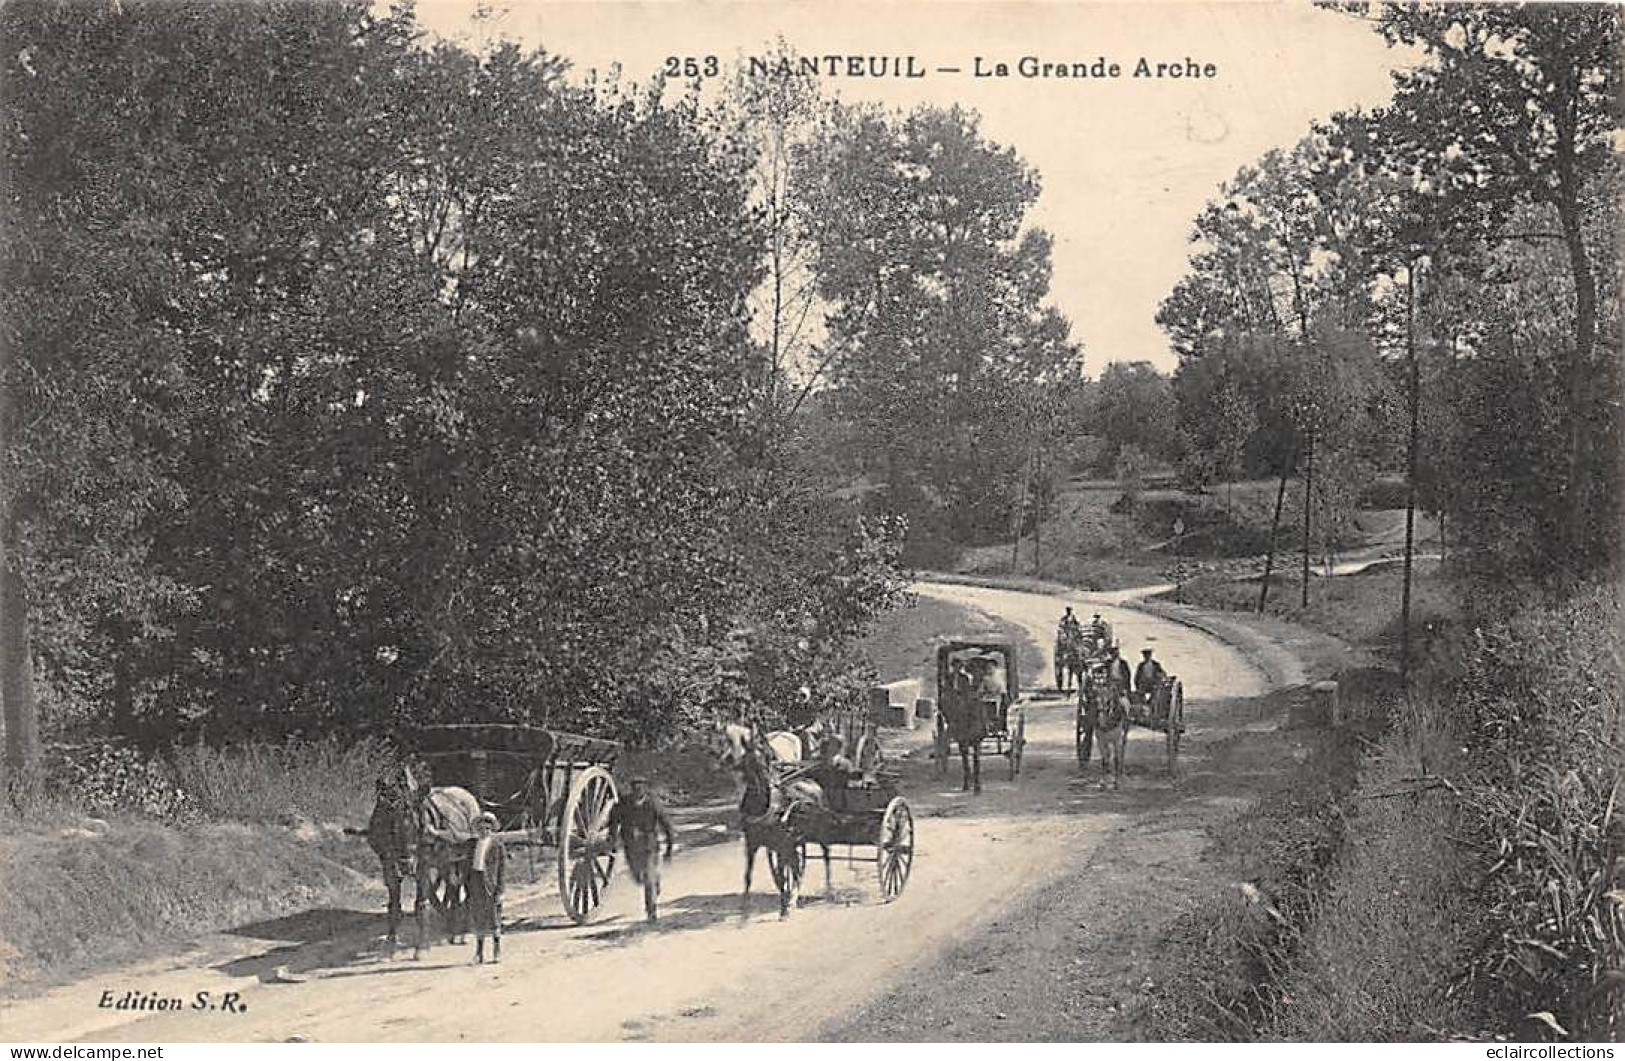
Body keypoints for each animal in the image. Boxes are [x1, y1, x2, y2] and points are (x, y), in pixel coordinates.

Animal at [357, 757, 477, 955]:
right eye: (387, 823)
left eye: (416, 823)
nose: (406, 864)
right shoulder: (387, 862)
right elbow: (394, 905)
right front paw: (390, 942)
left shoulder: (423, 864)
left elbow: (421, 904)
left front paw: (421, 946)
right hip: (444, 861)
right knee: (452, 886)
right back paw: (451, 923)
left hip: (465, 857)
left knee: (463, 887)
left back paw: (463, 927)